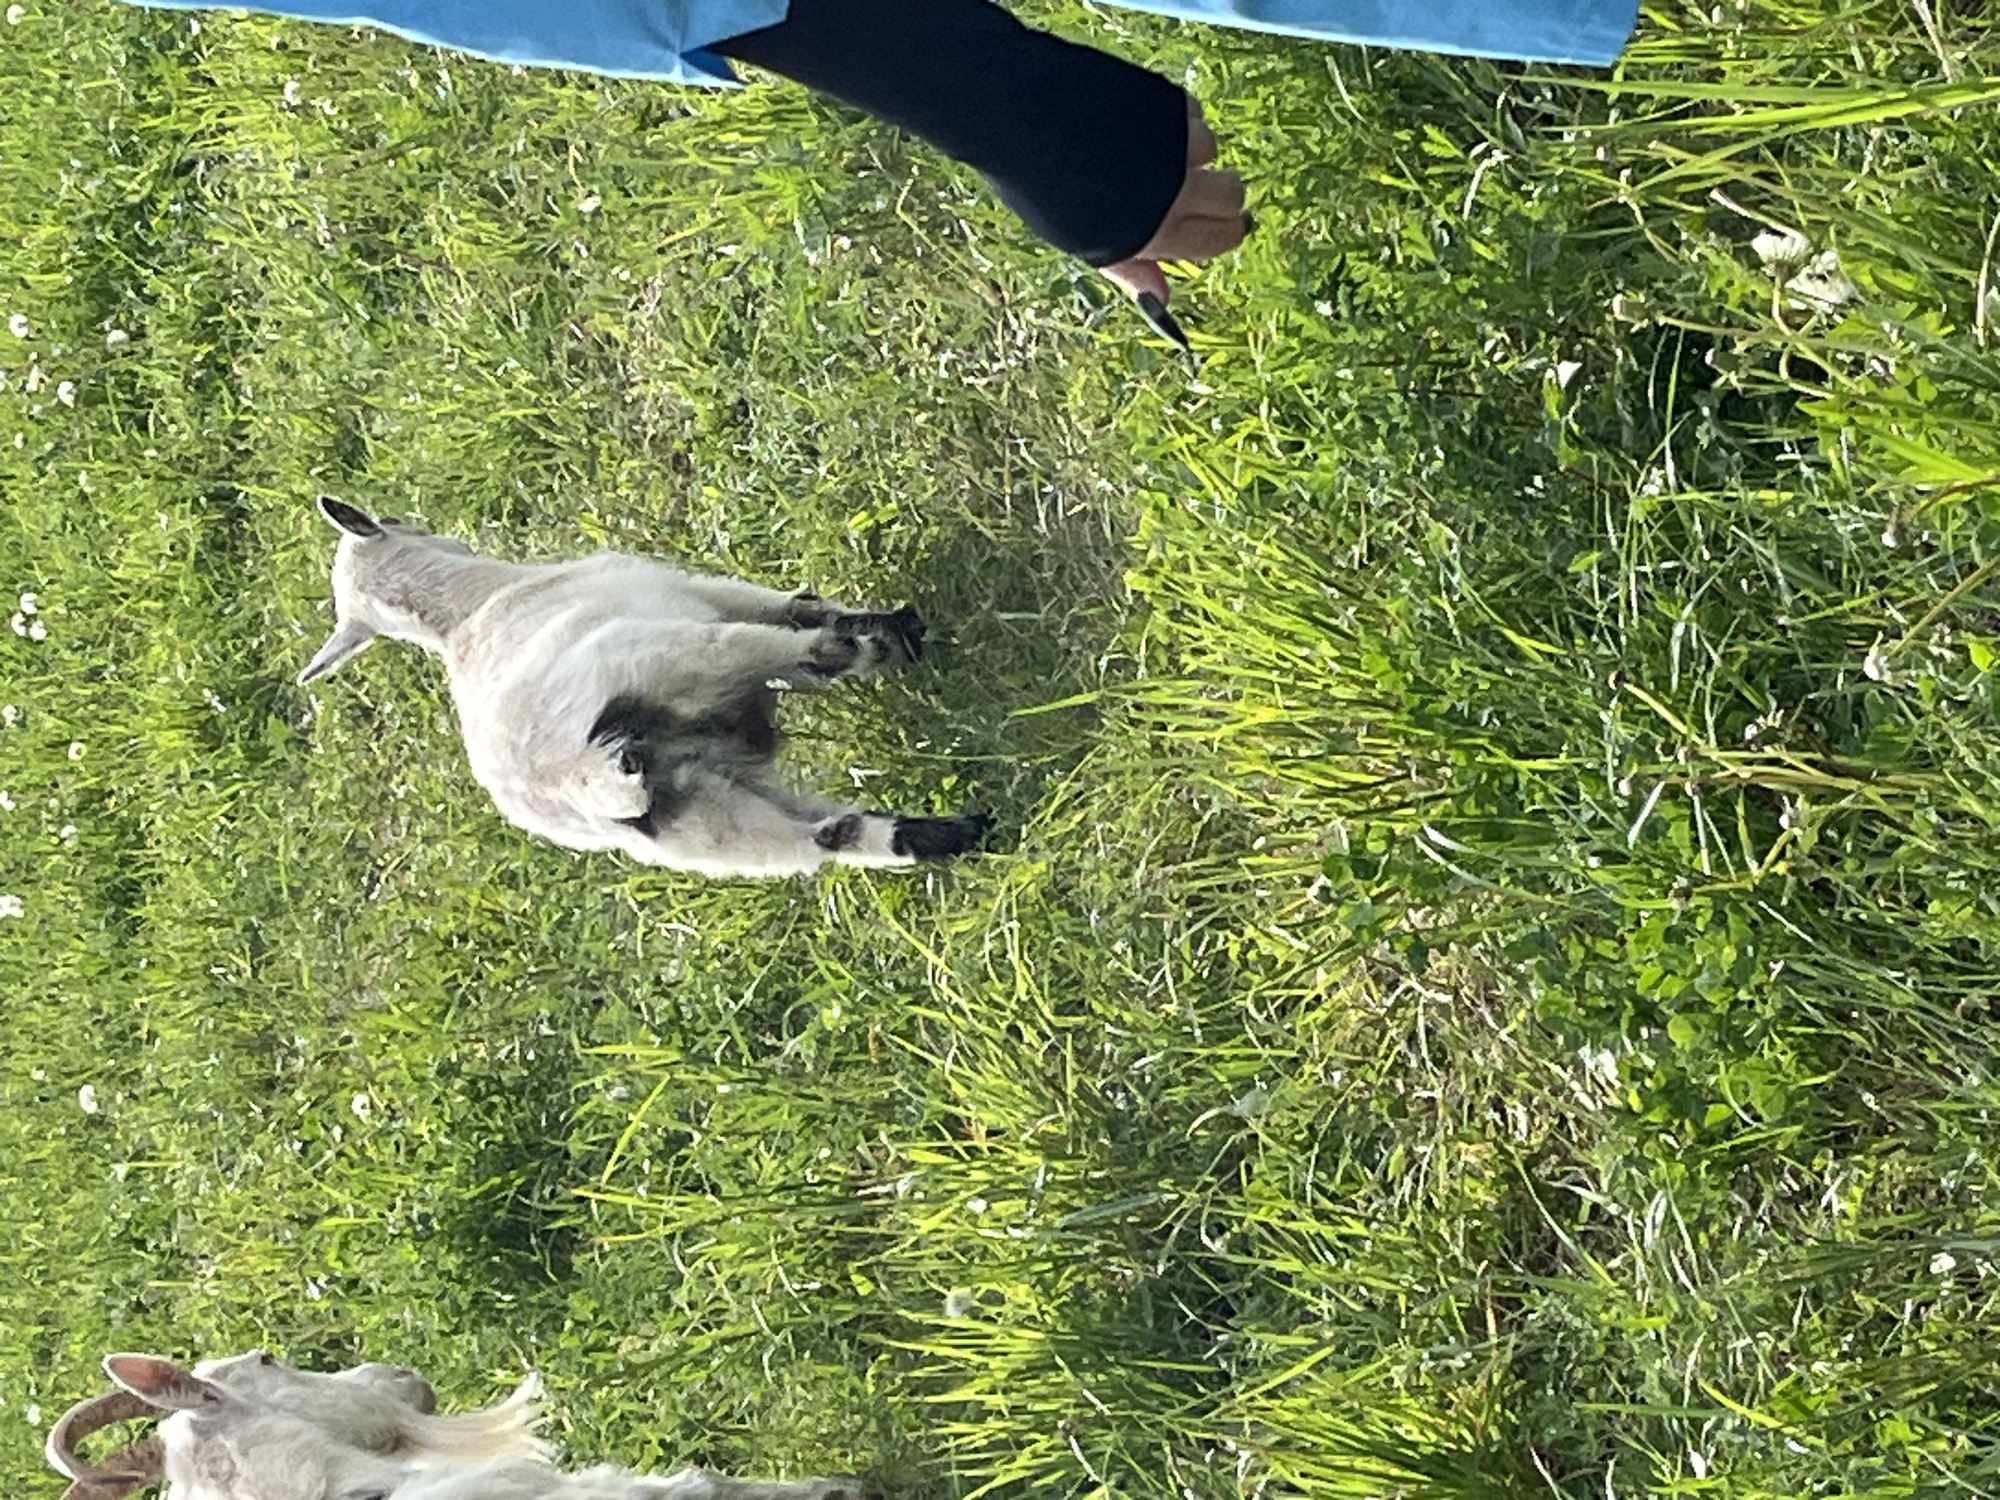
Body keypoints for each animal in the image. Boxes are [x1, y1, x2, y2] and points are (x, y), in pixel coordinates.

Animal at [299, 497, 991, 877]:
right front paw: (890, 625)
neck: (473, 609)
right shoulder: (703, 595)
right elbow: (800, 608)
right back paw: (894, 645)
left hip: (701, 825)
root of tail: (582, 776)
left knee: (829, 836)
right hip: (692, 658)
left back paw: (960, 832)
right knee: (818, 653)